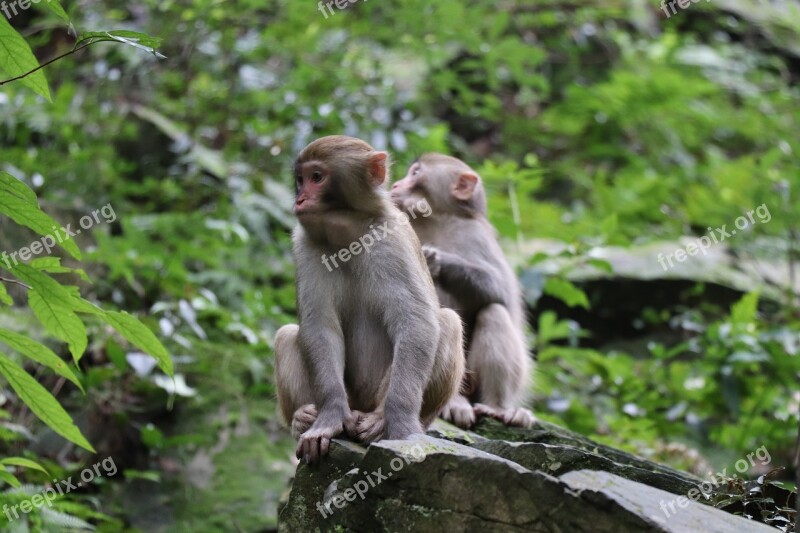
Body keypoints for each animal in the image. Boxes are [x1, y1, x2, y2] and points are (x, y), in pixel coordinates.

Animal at [276, 136, 466, 462]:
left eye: (317, 177)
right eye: (299, 180)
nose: (299, 199)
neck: (348, 236)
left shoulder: (393, 240)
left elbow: (415, 322)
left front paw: (400, 423)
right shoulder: (304, 244)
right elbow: (320, 327)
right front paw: (329, 416)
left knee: (447, 322)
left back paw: (378, 421)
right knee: (287, 334)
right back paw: (302, 417)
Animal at [390, 153, 536, 428]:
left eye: (415, 174)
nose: (394, 184)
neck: (435, 219)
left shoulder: (477, 235)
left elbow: (500, 289)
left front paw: (437, 259)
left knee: (493, 312)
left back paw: (497, 407)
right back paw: (455, 403)